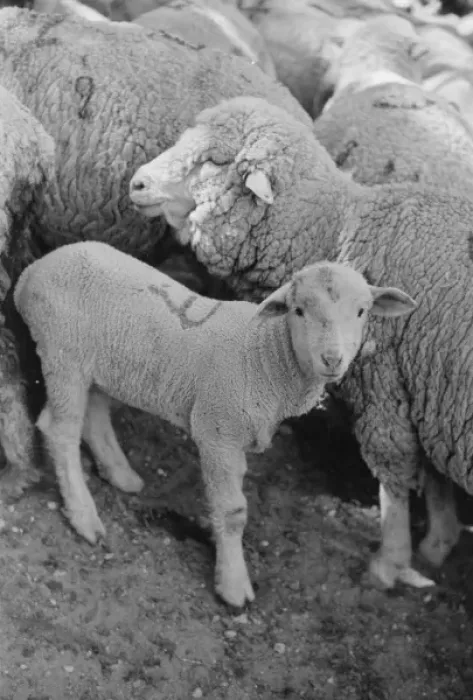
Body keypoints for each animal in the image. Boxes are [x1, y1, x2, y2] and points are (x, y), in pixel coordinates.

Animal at [13, 240, 415, 607]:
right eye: (298, 310)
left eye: (362, 311)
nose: (332, 359)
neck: (263, 353)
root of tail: (31, 272)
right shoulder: (218, 432)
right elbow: (233, 513)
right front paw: (233, 586)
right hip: (62, 354)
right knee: (60, 429)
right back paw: (83, 516)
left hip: (101, 365)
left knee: (93, 416)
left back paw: (121, 475)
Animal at [130, 95, 473, 589]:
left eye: (214, 160)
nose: (136, 183)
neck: (336, 230)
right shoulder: (427, 385)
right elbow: (435, 472)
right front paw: (437, 544)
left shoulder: (384, 382)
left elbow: (394, 471)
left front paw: (390, 562)